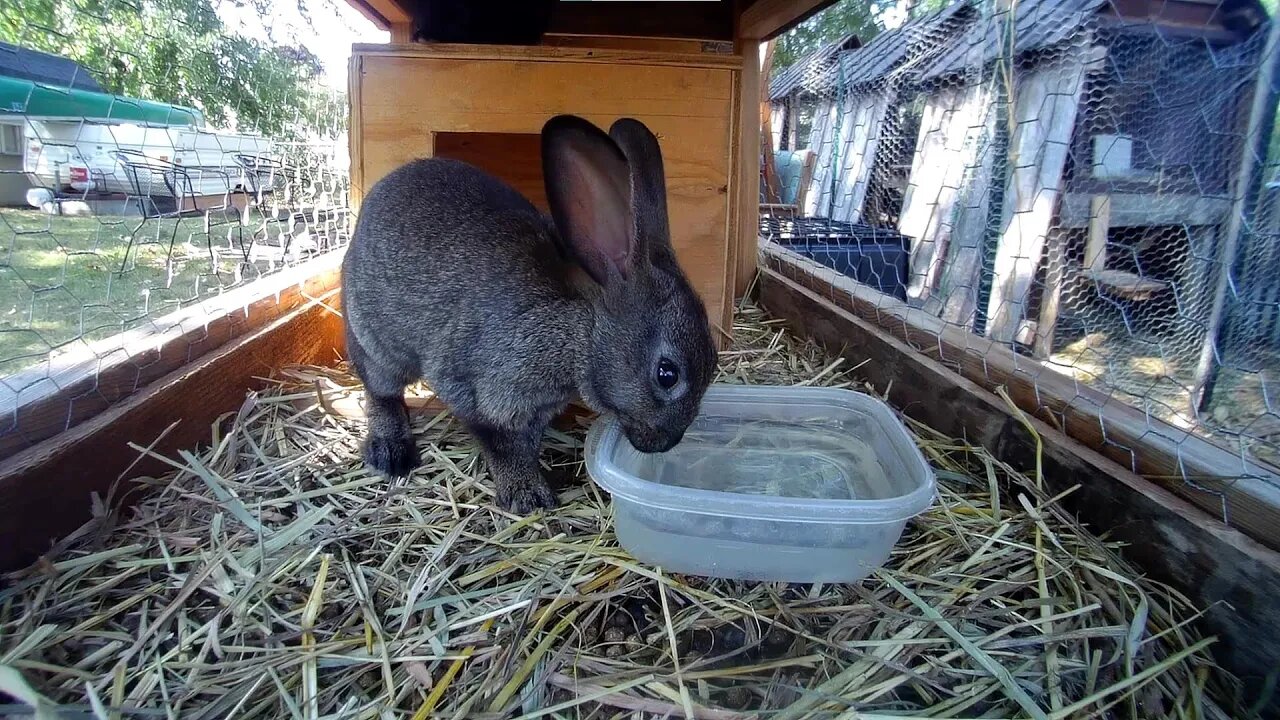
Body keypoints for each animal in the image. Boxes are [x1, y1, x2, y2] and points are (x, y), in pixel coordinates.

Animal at [340, 113, 721, 509]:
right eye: (667, 374)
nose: (666, 443)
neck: (580, 335)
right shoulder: (478, 389)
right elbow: (502, 445)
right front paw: (527, 495)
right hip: (375, 342)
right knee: (380, 391)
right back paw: (390, 450)